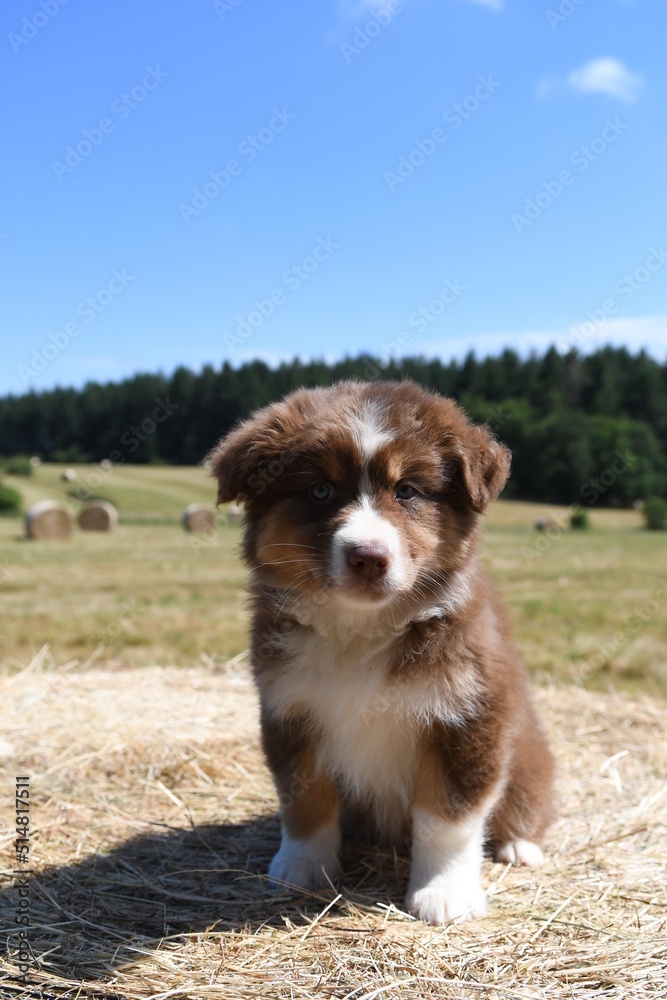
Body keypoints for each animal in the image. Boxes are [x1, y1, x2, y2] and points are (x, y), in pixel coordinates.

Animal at [209, 378, 552, 924]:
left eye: (407, 490)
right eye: (320, 490)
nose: (368, 558)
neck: (361, 629)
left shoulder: (469, 715)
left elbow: (448, 817)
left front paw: (443, 894)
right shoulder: (289, 709)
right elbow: (304, 801)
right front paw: (301, 868)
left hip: (530, 757)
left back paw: (519, 845)